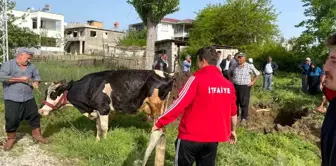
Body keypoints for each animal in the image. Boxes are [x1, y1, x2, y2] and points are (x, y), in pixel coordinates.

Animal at [40, 68, 173, 140]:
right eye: (45, 93)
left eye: (53, 94)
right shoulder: (97, 110)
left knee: (157, 122)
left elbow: (104, 128)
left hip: (156, 105)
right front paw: (97, 141)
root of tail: (168, 75)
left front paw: (104, 141)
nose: (40, 111)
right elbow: (98, 127)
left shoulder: (104, 109)